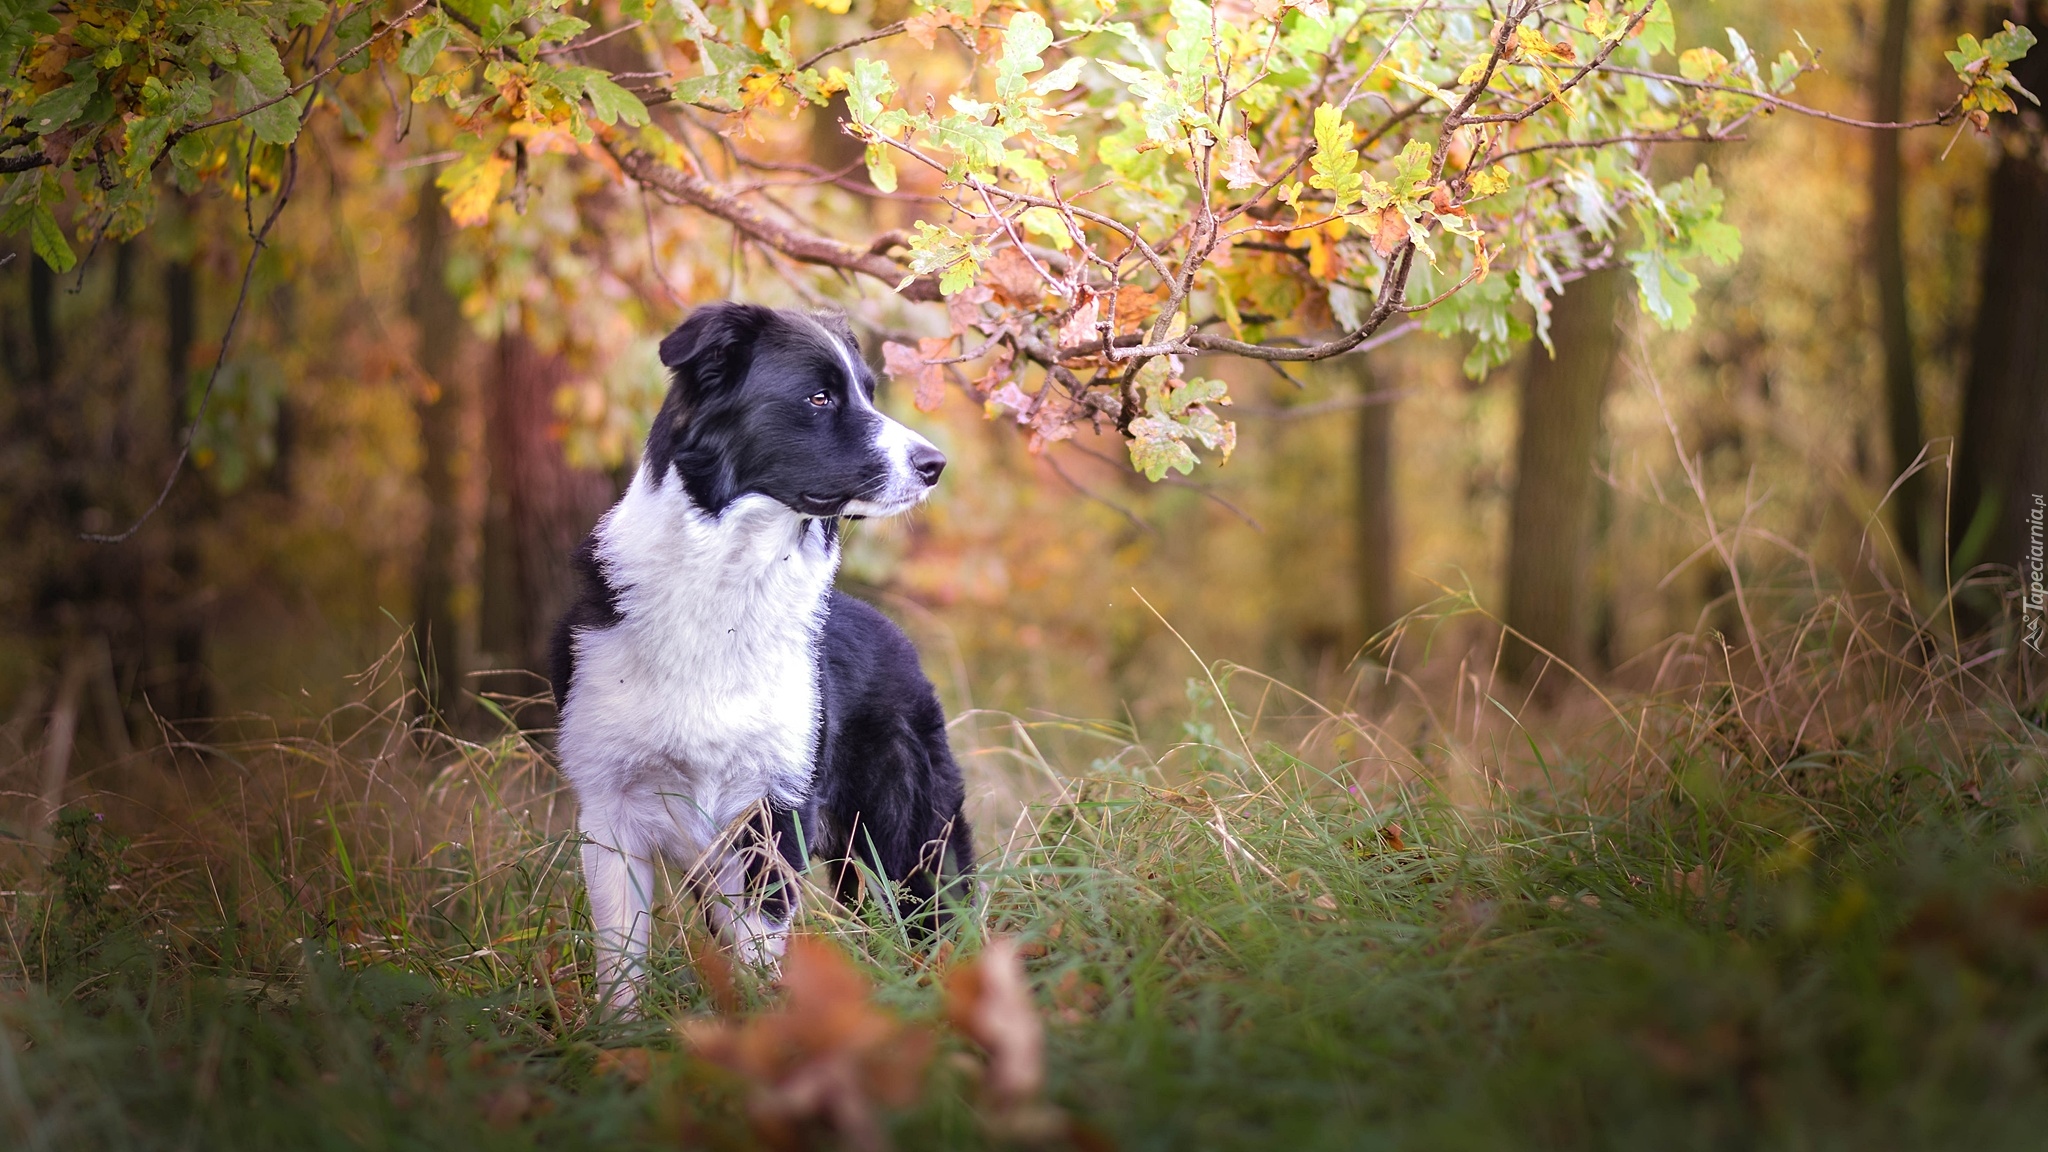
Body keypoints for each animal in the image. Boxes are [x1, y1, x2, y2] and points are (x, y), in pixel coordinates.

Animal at [552, 301, 974, 1008]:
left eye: (868, 390)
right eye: (820, 396)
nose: (935, 463)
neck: (730, 586)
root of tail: (896, 636)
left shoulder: (773, 810)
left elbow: (759, 950)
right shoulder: (610, 812)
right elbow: (621, 964)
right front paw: (617, 1034)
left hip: (908, 835)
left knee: (940, 914)